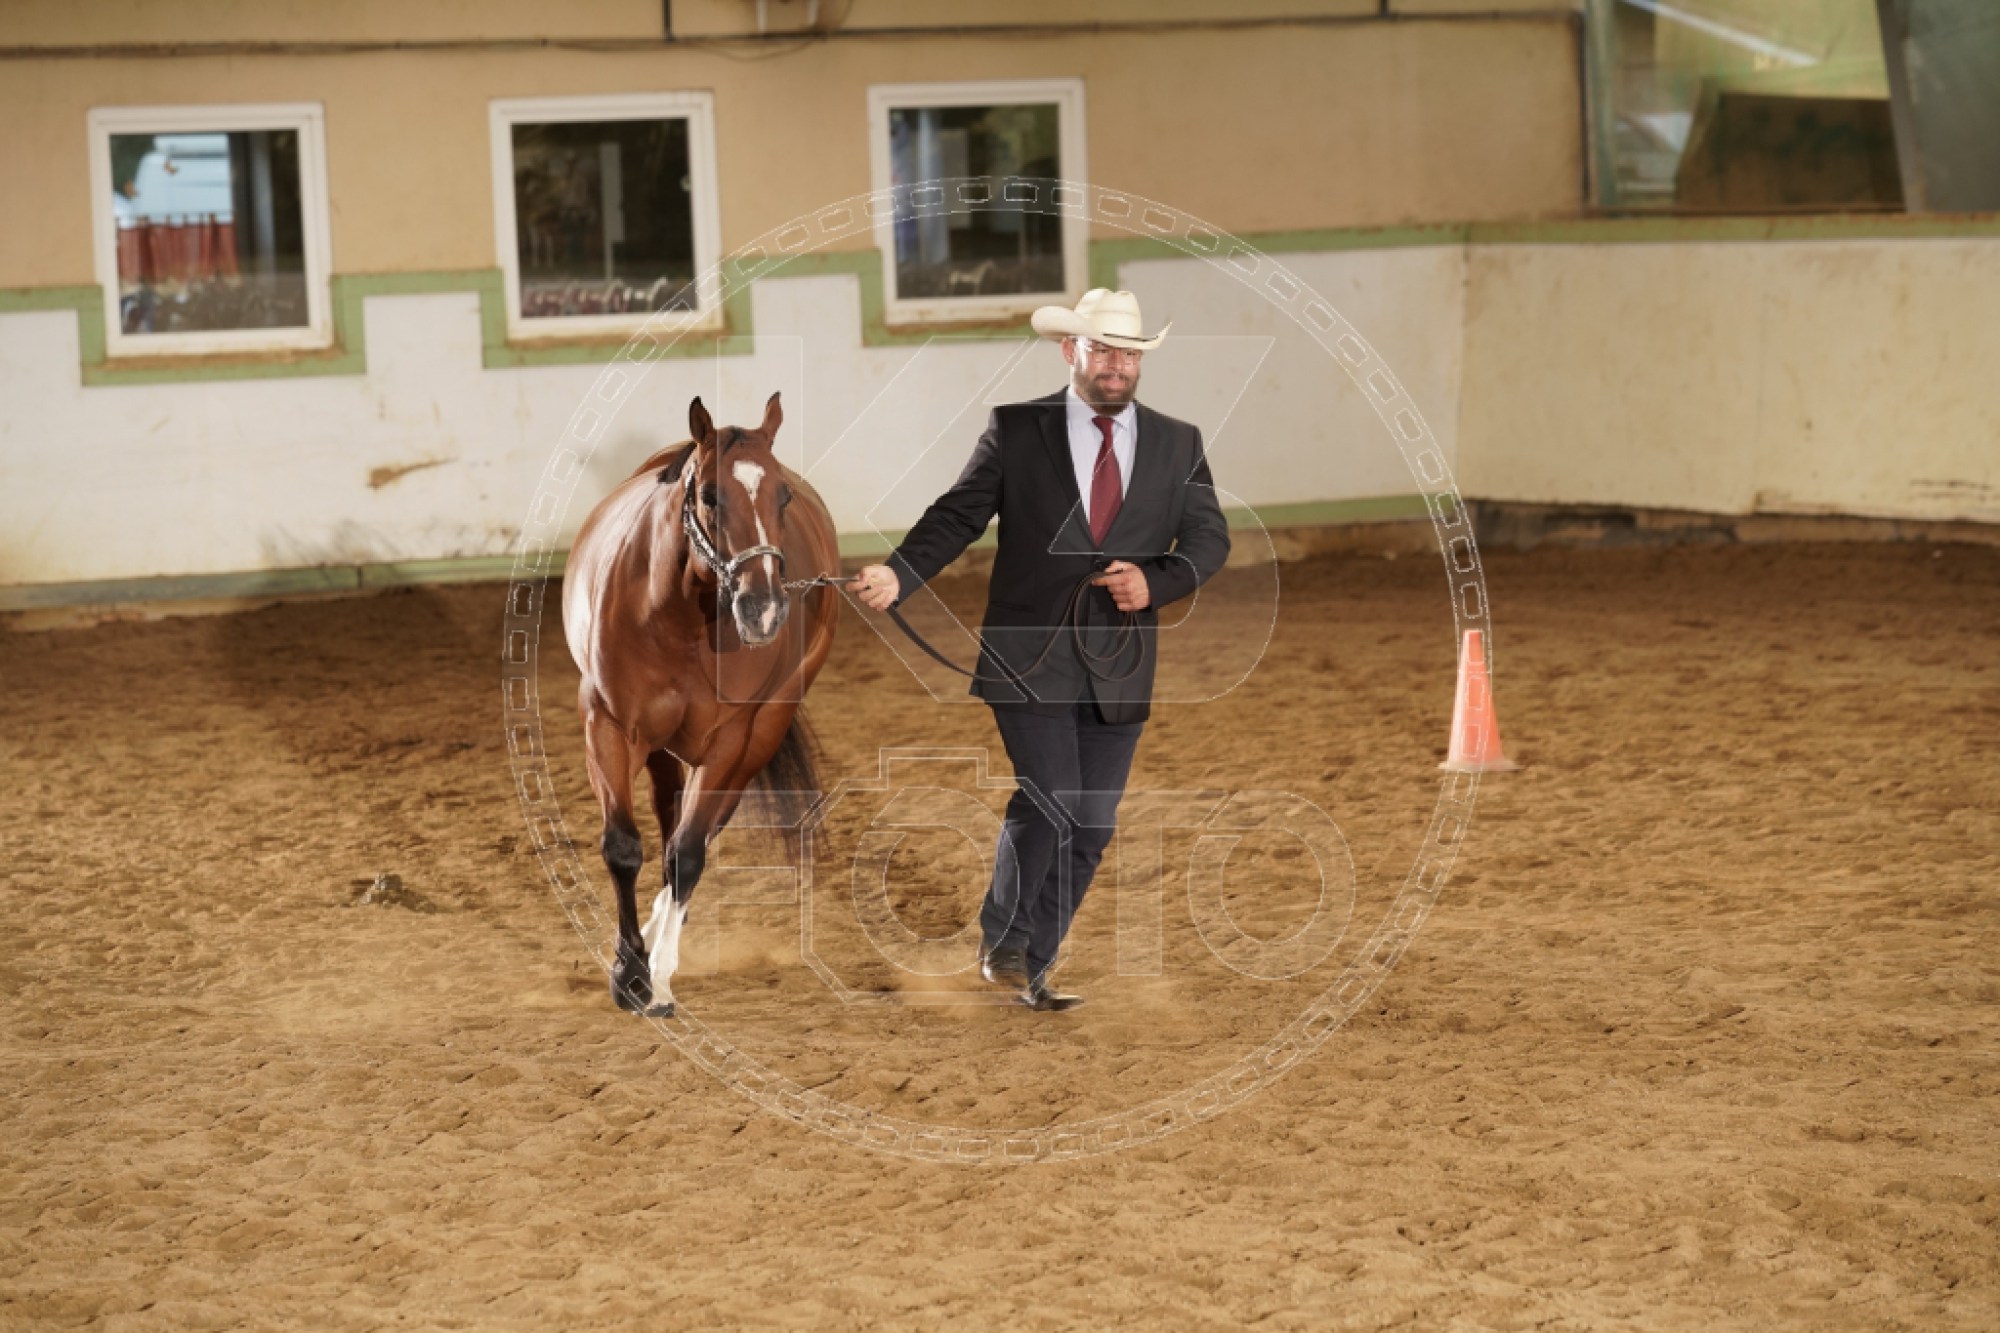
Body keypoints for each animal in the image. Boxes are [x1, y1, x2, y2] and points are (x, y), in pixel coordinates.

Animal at [562, 392, 840, 1015]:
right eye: (710, 496)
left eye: (781, 496)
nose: (764, 610)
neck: (676, 617)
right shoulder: (609, 726)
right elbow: (624, 847)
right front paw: (628, 969)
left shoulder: (729, 740)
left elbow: (687, 853)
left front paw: (657, 975)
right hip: (661, 747)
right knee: (668, 819)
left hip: (758, 737)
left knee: (698, 833)